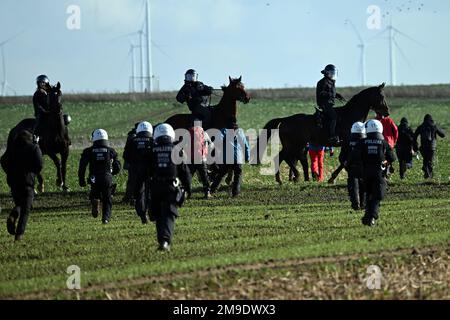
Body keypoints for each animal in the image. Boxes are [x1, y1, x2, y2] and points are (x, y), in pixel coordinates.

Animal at [256, 83, 390, 185]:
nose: (387, 112)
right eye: (381, 96)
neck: (350, 116)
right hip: (294, 145)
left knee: (282, 157)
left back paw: (281, 179)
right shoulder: (346, 143)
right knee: (284, 157)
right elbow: (344, 160)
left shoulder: (347, 144)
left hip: (294, 146)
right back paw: (295, 176)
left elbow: (344, 160)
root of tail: (284, 120)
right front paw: (333, 178)